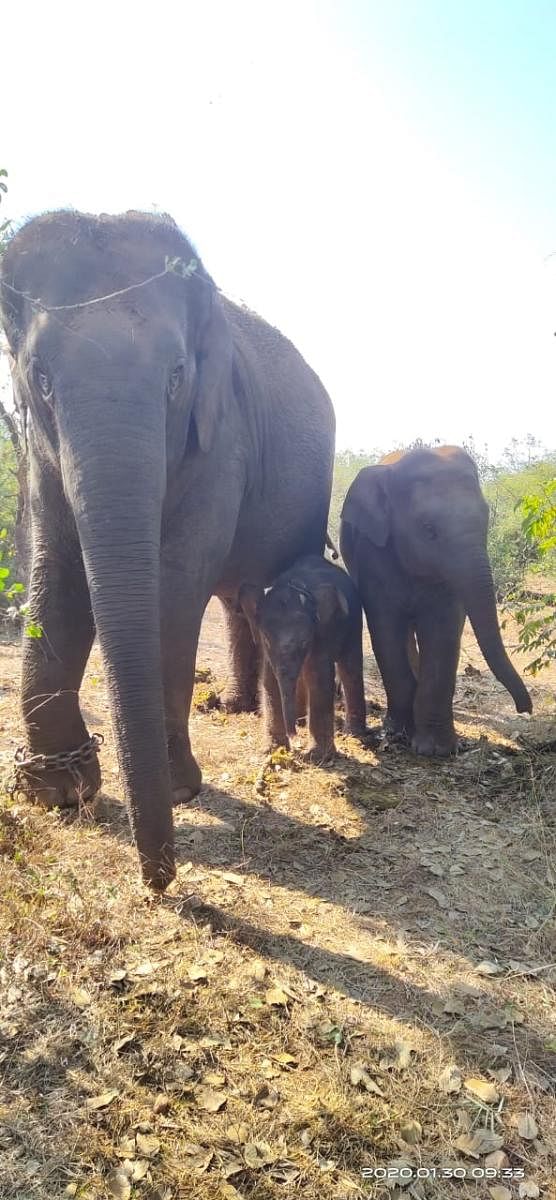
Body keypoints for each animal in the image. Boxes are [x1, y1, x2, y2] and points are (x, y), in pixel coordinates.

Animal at [1, 213, 336, 892]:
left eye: (177, 376)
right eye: (41, 379)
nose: (161, 882)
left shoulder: (222, 437)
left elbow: (176, 581)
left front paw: (180, 792)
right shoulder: (42, 452)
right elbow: (59, 567)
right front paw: (58, 792)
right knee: (240, 599)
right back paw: (236, 707)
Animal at [237, 552, 365, 758]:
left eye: (305, 641)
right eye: (266, 638)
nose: (294, 735)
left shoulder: (322, 634)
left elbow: (319, 678)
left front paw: (319, 756)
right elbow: (270, 681)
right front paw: (275, 749)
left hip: (354, 625)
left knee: (350, 669)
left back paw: (353, 734)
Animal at [341, 446, 533, 753]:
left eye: (485, 521)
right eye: (428, 529)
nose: (525, 709)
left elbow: (443, 627)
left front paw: (436, 750)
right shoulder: (374, 553)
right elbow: (385, 625)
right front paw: (400, 734)